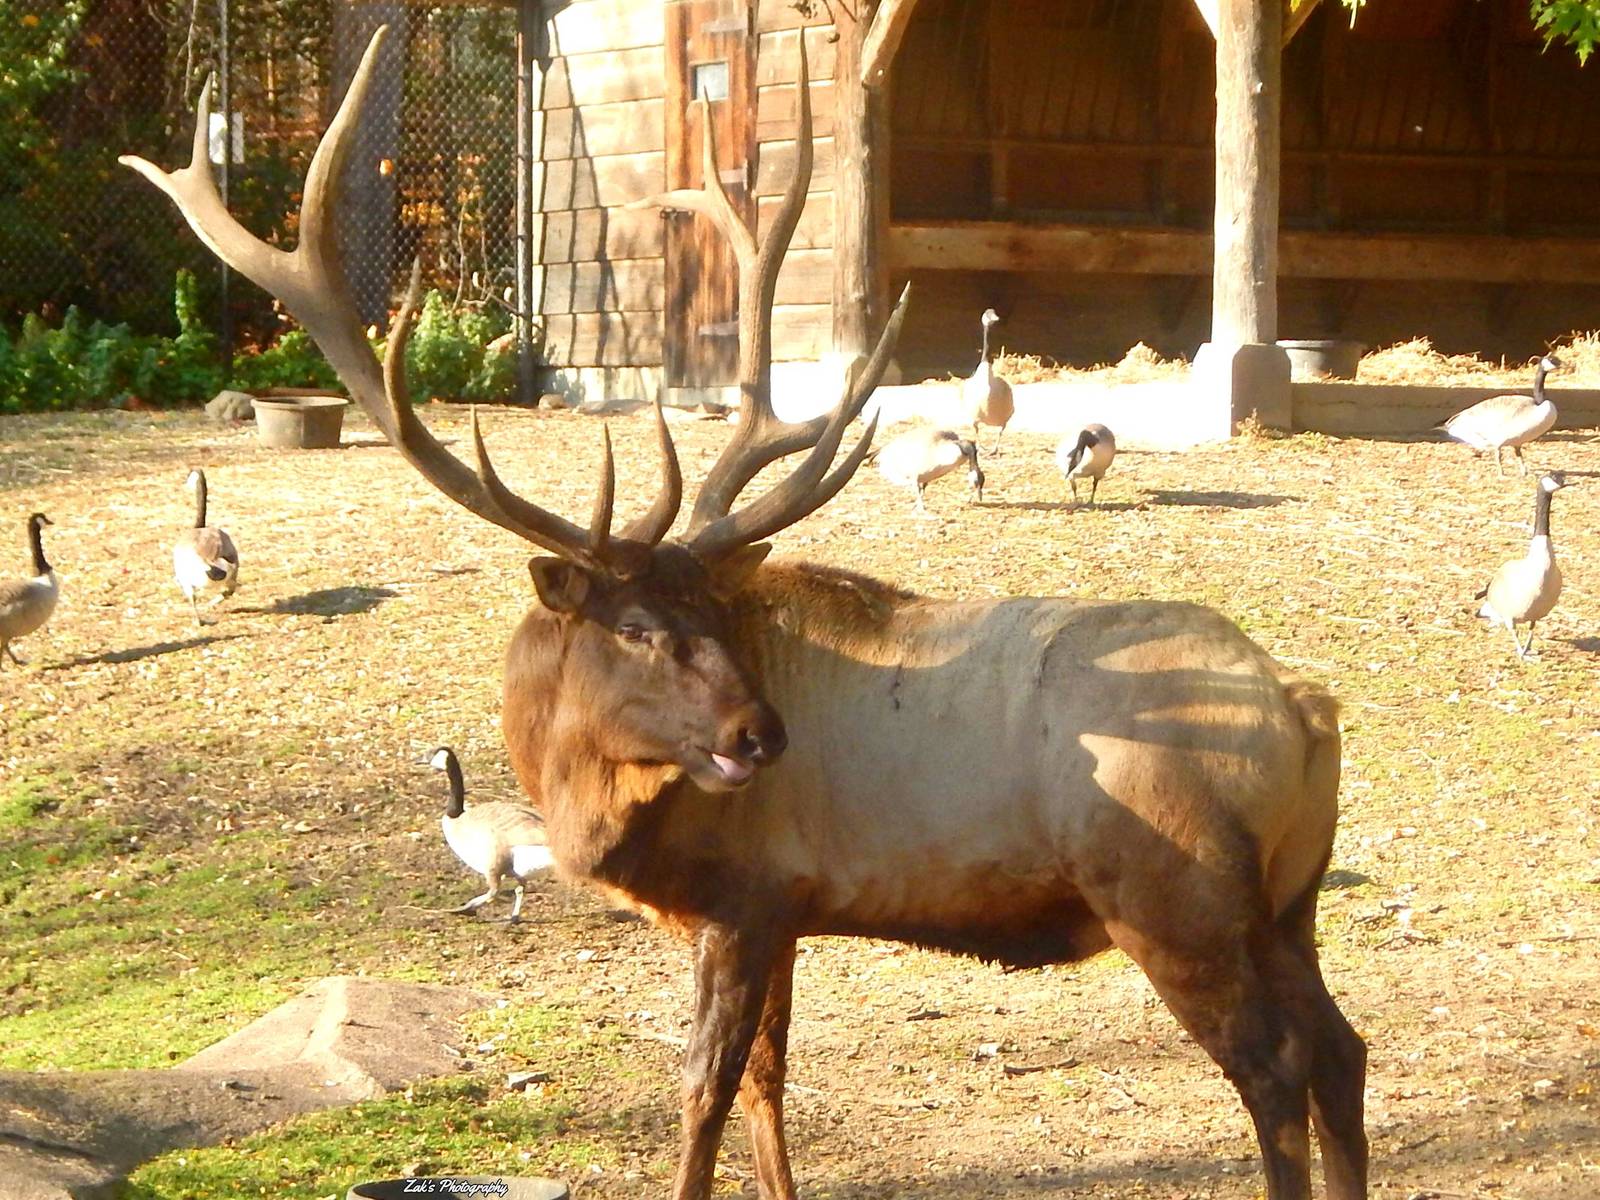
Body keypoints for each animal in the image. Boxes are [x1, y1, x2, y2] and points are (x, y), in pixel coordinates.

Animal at [123, 27, 1367, 1200]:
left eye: (715, 619)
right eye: (638, 626)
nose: (761, 734)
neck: (595, 804)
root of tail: (1307, 712)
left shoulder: (746, 902)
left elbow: (703, 1096)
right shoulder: (789, 913)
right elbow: (769, 1084)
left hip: (1174, 896)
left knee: (1275, 1069)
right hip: (1285, 903)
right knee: (1342, 1052)